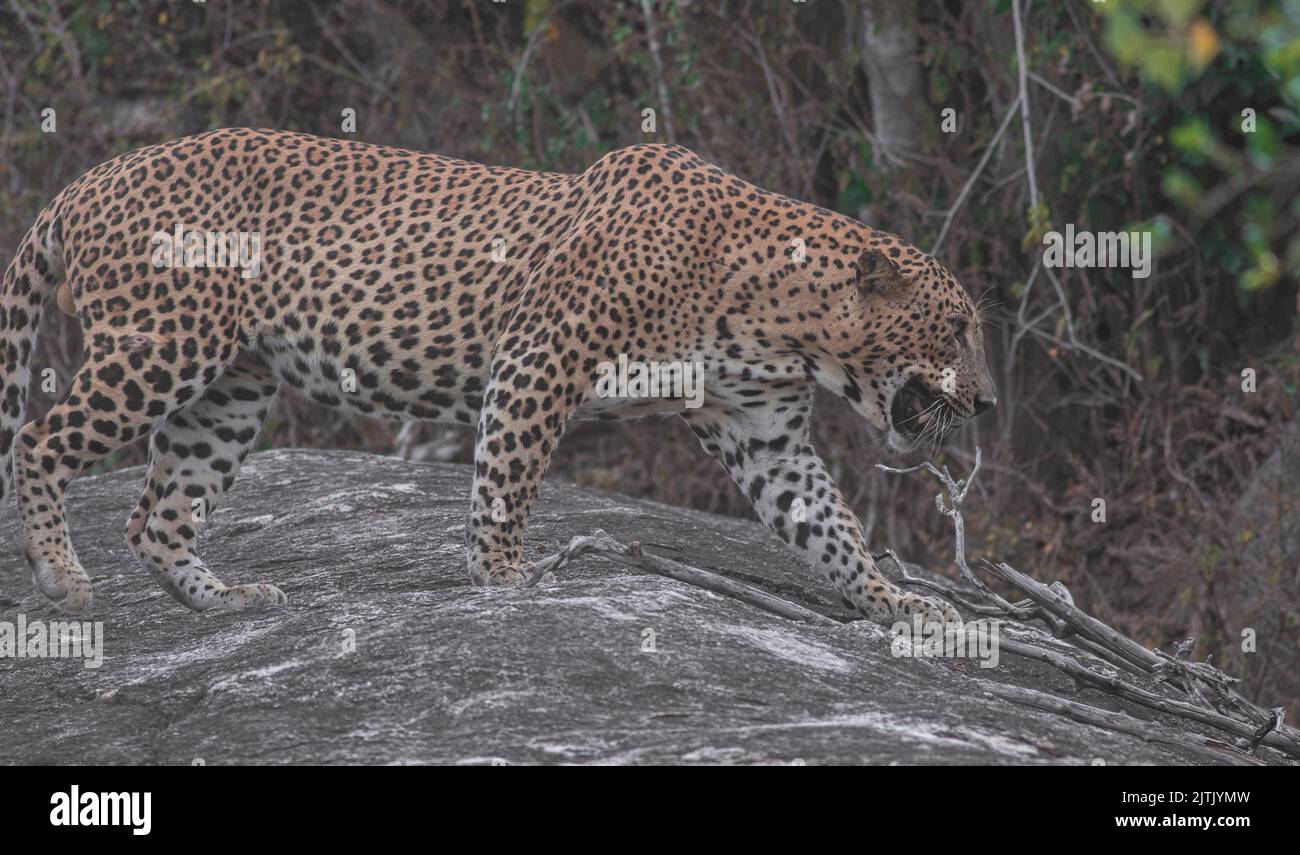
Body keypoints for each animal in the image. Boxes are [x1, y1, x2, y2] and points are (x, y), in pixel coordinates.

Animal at [0, 131, 993, 626]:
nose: (986, 400)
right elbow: (508, 475)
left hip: (231, 386)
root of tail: (83, 181)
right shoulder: (543, 352)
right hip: (164, 344)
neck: (784, 321)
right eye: (957, 326)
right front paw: (507, 573)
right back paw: (60, 576)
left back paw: (226, 601)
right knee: (39, 440)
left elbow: (831, 527)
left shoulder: (765, 435)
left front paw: (900, 603)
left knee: (154, 516)